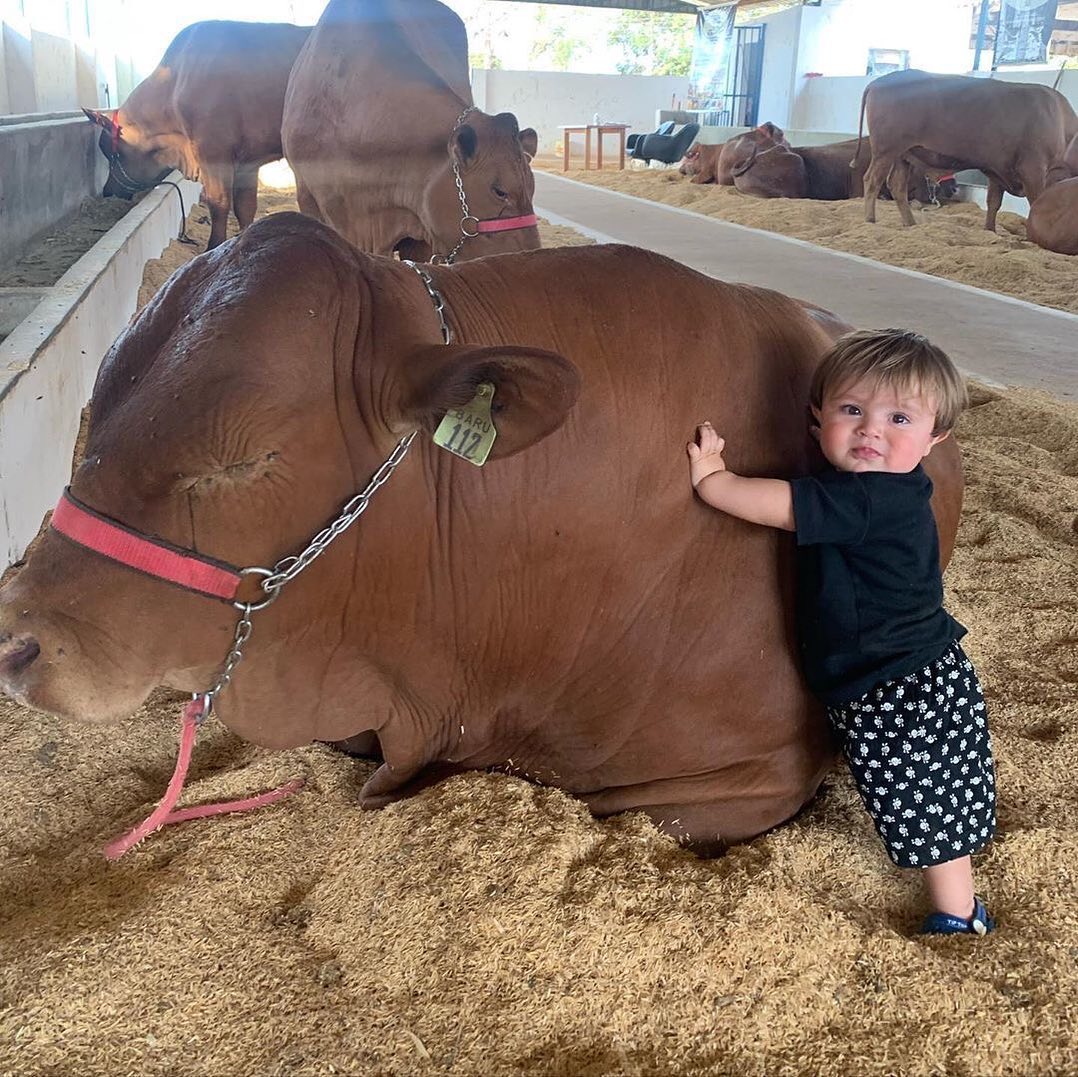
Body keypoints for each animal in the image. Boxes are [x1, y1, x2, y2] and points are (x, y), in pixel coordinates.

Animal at [83, 21, 310, 251]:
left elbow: (219, 203)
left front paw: (213, 246)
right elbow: (245, 206)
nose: (108, 191)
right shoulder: (248, 162)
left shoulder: (214, 154)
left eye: (110, 153)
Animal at [855, 69, 1078, 230]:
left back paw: (910, 223)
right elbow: (1036, 205)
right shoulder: (1033, 169)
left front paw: (990, 230)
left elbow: (993, 202)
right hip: (886, 150)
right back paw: (869, 220)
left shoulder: (997, 169)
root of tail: (878, 82)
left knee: (897, 185)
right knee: (872, 180)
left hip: (904, 154)